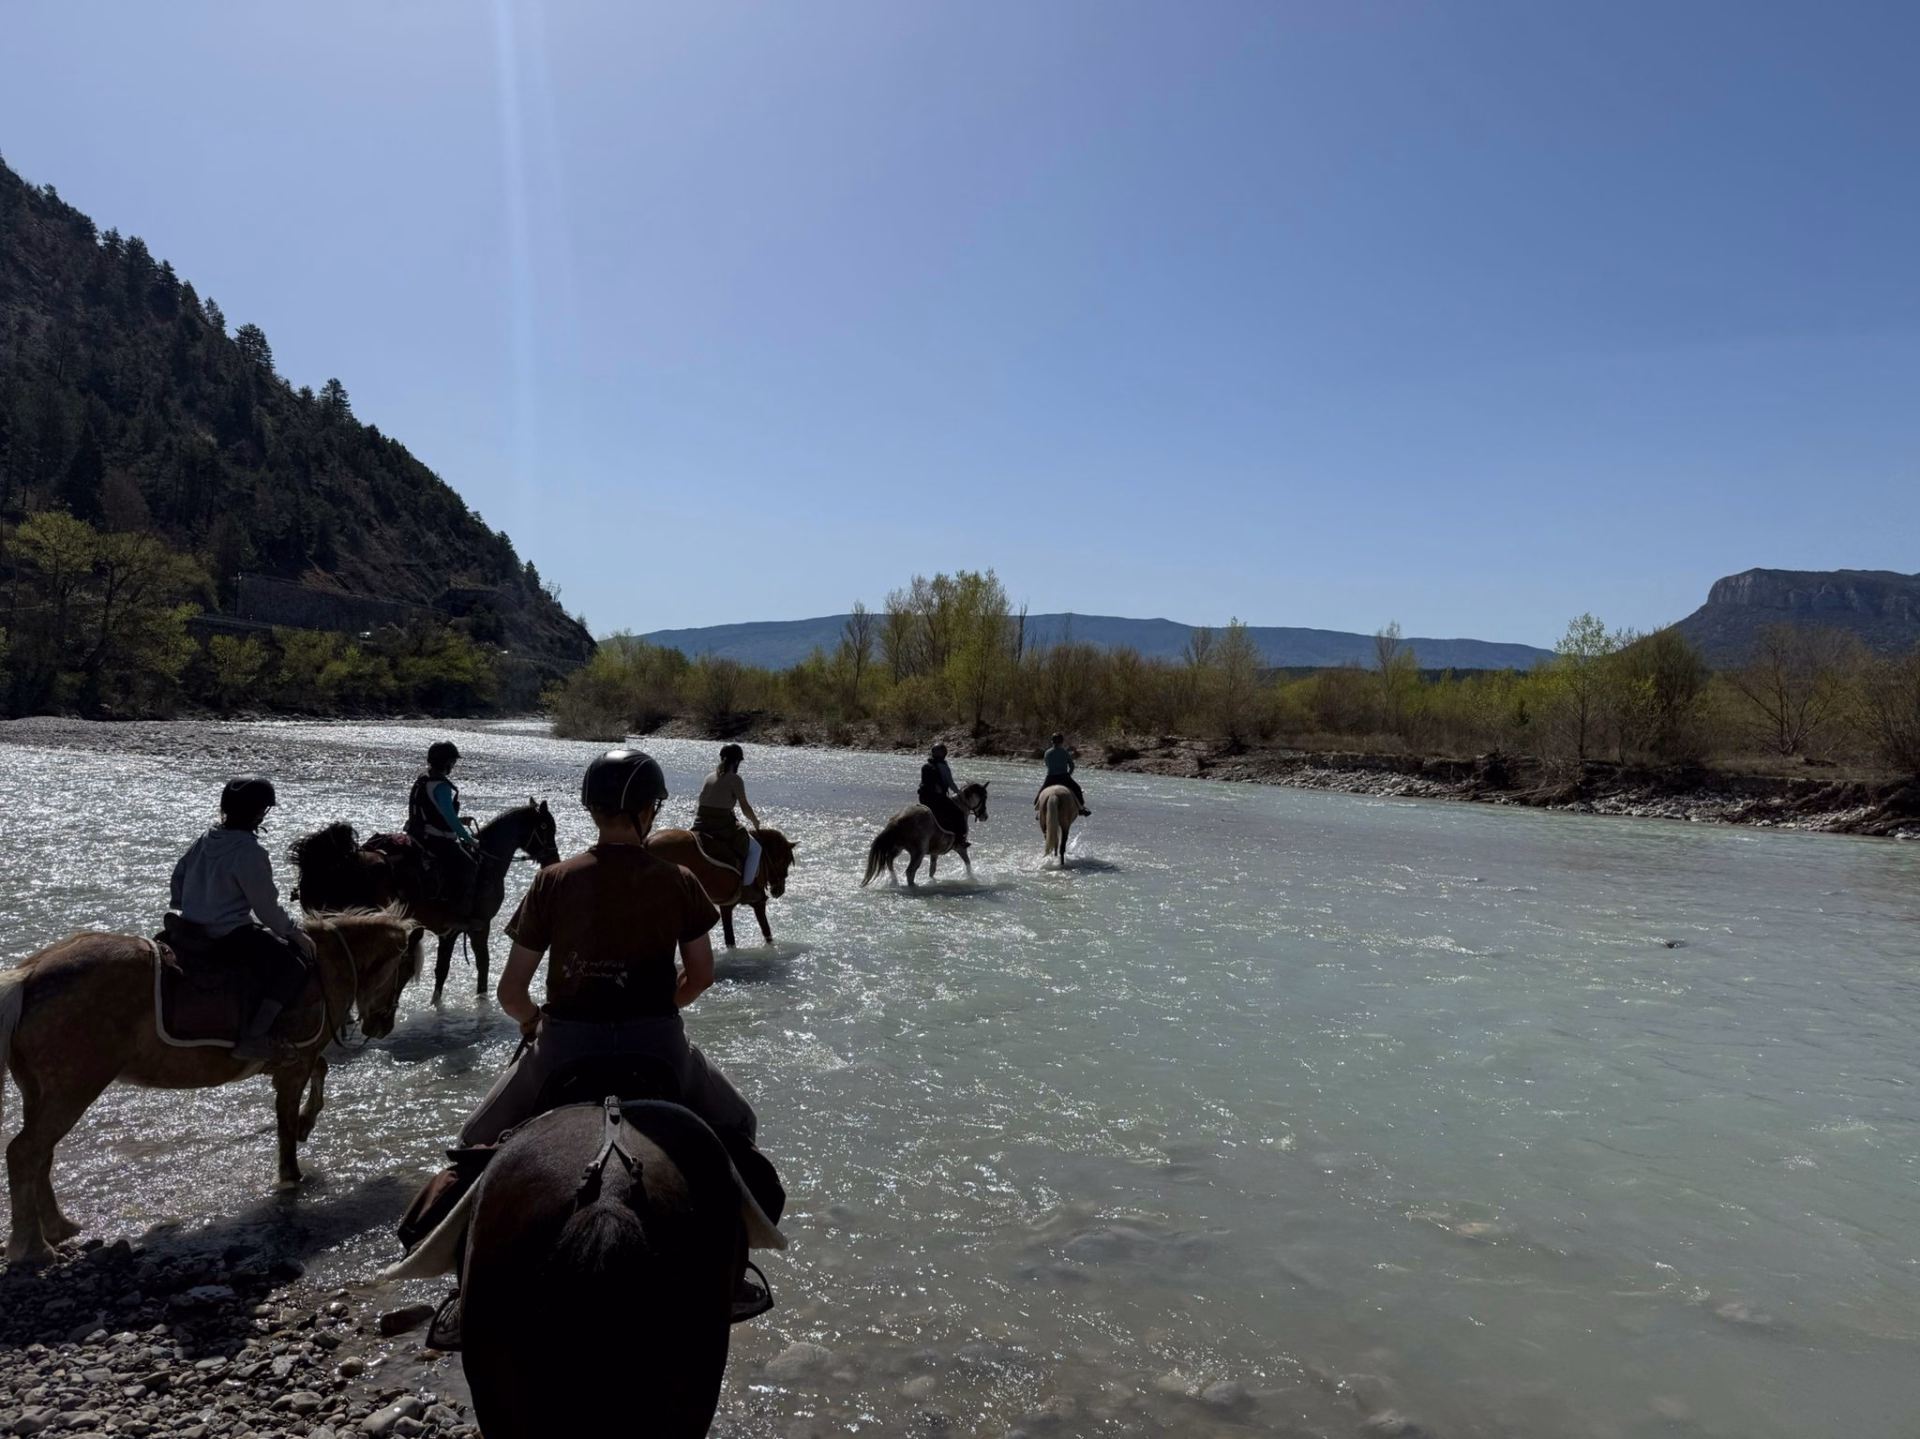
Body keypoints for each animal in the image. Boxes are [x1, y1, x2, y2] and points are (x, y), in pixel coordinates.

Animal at [0, 909, 425, 1263]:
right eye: (404, 971)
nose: (381, 1025)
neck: (324, 963)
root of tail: (30, 975)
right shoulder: (296, 1062)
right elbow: (288, 1121)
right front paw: (292, 1170)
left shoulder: (296, 1058)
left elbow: (319, 1073)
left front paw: (307, 1125)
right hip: (73, 1088)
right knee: (24, 1152)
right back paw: (34, 1248)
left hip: (40, 1092)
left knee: (40, 1154)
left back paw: (58, 1227)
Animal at [289, 800, 560, 1003]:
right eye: (545, 826)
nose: (554, 860)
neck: (485, 863)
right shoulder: (481, 925)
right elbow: (482, 963)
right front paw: (481, 999)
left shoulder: (449, 932)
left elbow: (442, 969)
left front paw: (436, 1002)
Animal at [645, 828, 798, 947]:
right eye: (786, 861)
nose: (779, 891)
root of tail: (648, 841)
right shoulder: (758, 902)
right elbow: (766, 931)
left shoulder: (726, 905)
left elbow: (729, 938)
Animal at [861, 782, 990, 888]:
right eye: (984, 798)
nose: (985, 816)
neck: (960, 807)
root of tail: (897, 820)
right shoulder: (959, 847)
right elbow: (968, 863)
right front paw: (972, 878)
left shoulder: (935, 851)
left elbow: (932, 869)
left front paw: (932, 881)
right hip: (918, 853)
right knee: (910, 871)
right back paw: (913, 886)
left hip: (898, 848)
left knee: (889, 861)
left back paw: (895, 881)